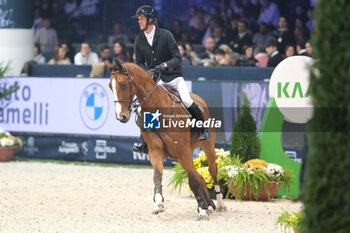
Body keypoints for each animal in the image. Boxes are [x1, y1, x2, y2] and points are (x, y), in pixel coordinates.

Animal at [106, 58, 224, 220]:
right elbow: (157, 177)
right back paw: (209, 204)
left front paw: (202, 210)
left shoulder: (183, 151)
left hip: (207, 146)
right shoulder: (155, 151)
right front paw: (158, 204)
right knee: (200, 176)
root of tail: (198, 99)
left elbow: (193, 180)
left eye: (123, 84)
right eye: (110, 86)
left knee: (212, 171)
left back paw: (218, 204)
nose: (121, 116)